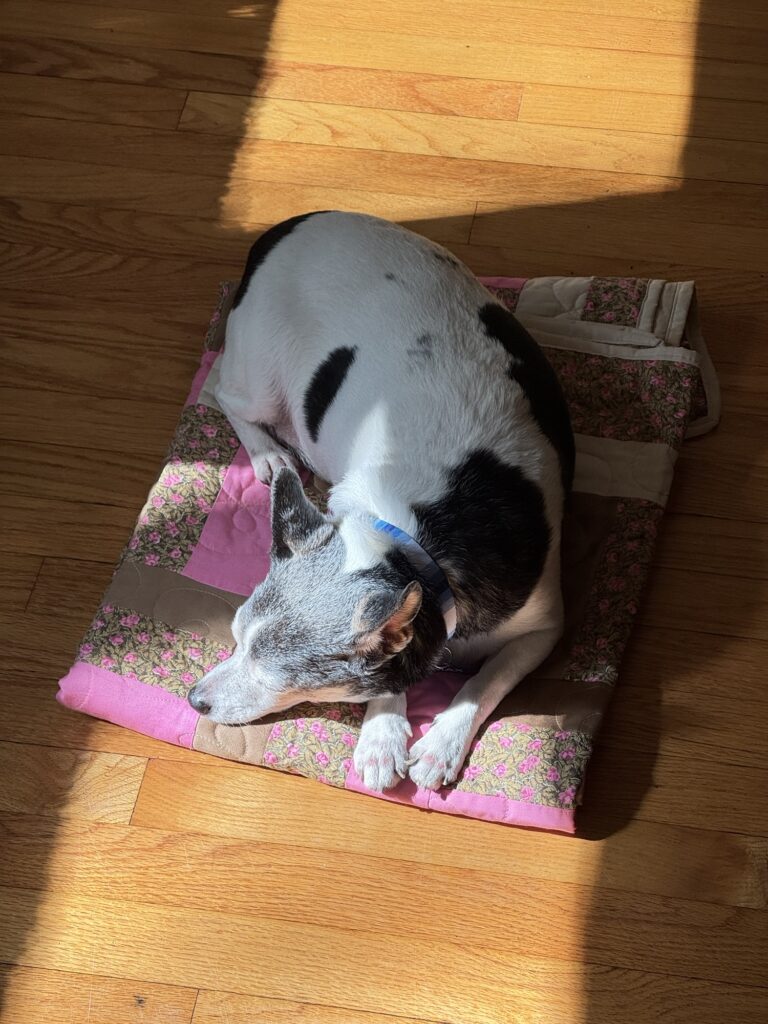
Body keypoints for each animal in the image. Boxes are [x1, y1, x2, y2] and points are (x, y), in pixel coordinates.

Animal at [187, 211, 574, 792]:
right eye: (233, 639)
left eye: (269, 672)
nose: (194, 699)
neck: (416, 540)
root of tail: (284, 226)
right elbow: (389, 682)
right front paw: (382, 734)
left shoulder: (541, 630)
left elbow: (485, 680)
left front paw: (441, 743)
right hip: (261, 376)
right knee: (225, 393)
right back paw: (268, 455)